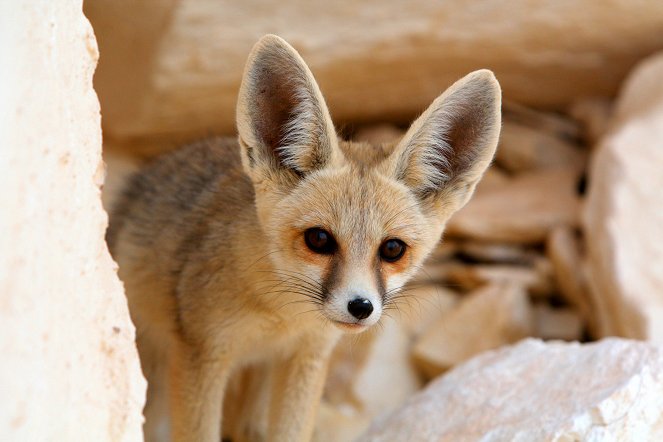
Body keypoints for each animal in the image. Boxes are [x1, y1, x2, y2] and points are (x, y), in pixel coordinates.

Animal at [107, 32, 504, 440]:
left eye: (393, 248)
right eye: (319, 240)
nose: (360, 307)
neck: (279, 319)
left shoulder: (307, 355)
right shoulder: (202, 355)